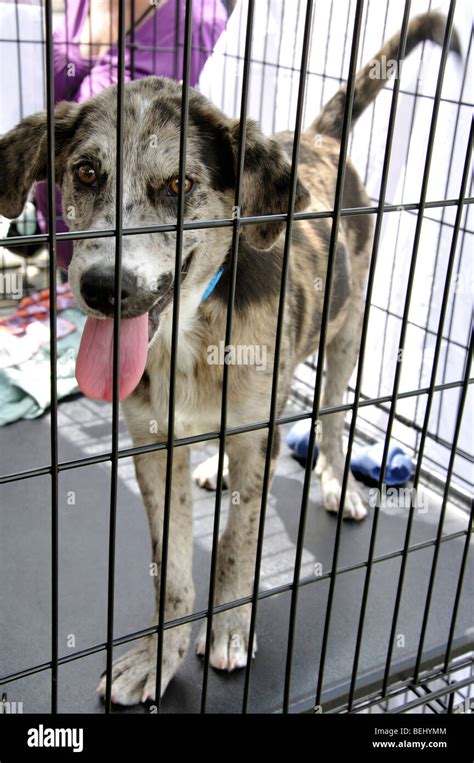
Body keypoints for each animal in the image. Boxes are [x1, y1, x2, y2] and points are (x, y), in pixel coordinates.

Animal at [0, 10, 460, 704]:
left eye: (180, 184)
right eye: (85, 172)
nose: (103, 289)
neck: (189, 336)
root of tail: (315, 138)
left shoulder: (257, 434)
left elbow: (237, 546)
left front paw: (230, 631)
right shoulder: (153, 445)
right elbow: (172, 571)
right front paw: (159, 656)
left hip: (346, 337)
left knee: (330, 417)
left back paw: (336, 480)